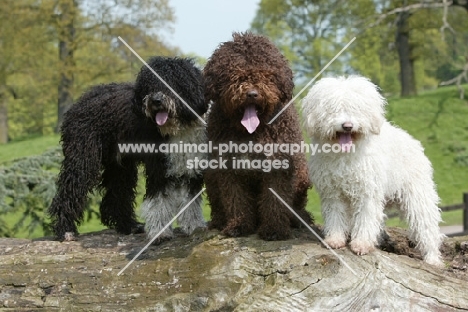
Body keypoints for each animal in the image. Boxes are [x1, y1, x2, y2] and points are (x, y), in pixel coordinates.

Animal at [48, 56, 207, 241]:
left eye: (172, 81)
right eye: (150, 84)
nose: (156, 101)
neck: (178, 129)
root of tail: (80, 102)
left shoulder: (192, 165)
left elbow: (191, 201)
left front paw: (194, 226)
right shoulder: (157, 167)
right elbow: (158, 200)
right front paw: (160, 233)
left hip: (119, 165)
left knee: (117, 197)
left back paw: (129, 226)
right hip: (82, 158)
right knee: (68, 192)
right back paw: (65, 229)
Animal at [203, 31, 312, 240]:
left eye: (267, 75)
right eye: (234, 74)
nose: (252, 93)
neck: (251, 133)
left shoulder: (279, 166)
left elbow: (274, 201)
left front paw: (274, 230)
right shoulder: (228, 167)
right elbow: (236, 200)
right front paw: (239, 226)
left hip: (302, 175)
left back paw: (300, 219)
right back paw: (218, 222)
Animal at [302, 75, 444, 266]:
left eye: (357, 108)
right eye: (333, 109)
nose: (347, 126)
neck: (345, 154)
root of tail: (414, 143)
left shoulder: (367, 192)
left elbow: (365, 218)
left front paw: (361, 244)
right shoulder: (333, 194)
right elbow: (336, 216)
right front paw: (335, 239)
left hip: (418, 196)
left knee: (427, 227)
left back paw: (432, 259)